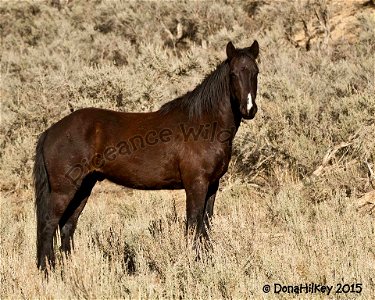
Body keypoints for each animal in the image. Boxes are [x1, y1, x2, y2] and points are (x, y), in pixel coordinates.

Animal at [33, 39, 260, 270]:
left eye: (255, 72)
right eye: (233, 74)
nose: (249, 109)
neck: (203, 124)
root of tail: (51, 131)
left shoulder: (212, 185)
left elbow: (205, 224)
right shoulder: (196, 184)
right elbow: (193, 224)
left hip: (84, 187)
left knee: (67, 226)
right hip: (63, 189)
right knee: (48, 225)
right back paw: (47, 270)